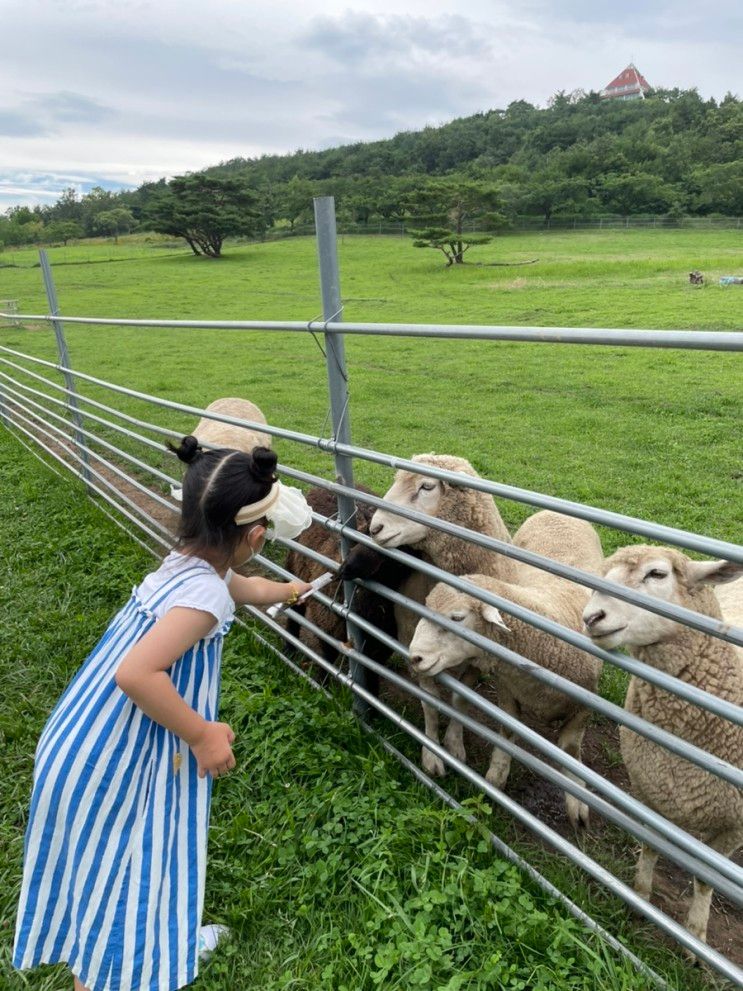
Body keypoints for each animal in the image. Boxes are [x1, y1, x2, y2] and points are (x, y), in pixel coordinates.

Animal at [410, 512, 608, 828]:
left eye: (457, 618)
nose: (414, 656)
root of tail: (556, 513)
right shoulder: (508, 692)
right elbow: (506, 731)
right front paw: (497, 776)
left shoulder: (584, 705)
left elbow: (569, 750)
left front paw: (577, 801)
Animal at [584, 548, 740, 948]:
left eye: (657, 574)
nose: (591, 617)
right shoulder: (647, 789)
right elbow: (651, 845)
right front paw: (640, 896)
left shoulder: (734, 824)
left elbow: (706, 878)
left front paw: (696, 934)